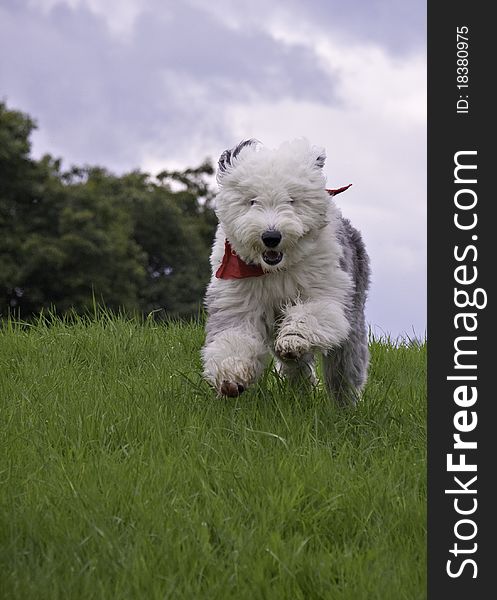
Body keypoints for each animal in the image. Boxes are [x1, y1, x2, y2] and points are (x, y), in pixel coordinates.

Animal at [201, 138, 368, 406]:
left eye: (291, 200)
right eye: (252, 200)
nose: (271, 237)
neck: (275, 270)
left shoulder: (326, 292)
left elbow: (311, 314)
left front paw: (293, 338)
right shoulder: (237, 303)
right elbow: (234, 336)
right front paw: (231, 375)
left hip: (352, 321)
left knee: (345, 368)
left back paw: (345, 404)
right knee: (297, 367)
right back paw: (299, 391)